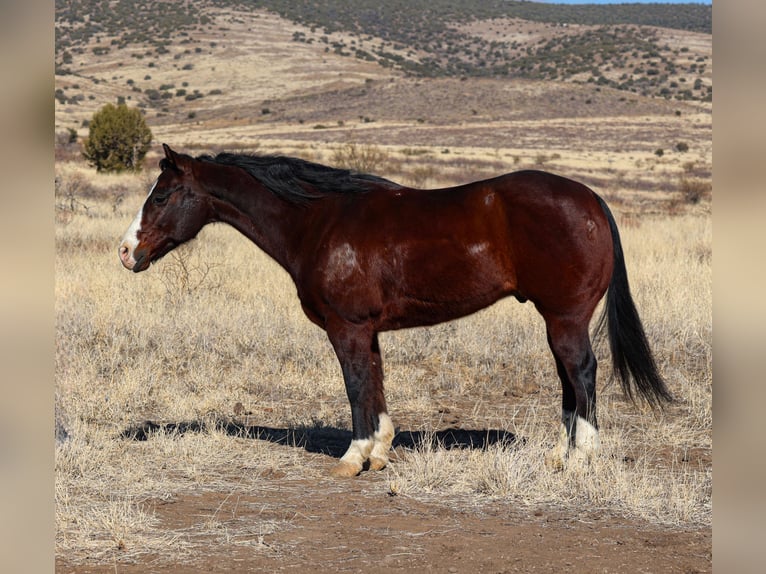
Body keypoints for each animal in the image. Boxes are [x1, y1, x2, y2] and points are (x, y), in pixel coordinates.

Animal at [120, 146, 672, 480]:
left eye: (163, 195)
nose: (126, 252)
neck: (319, 221)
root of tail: (590, 199)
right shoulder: (368, 330)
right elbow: (376, 382)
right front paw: (381, 452)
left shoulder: (346, 328)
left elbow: (356, 386)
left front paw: (353, 458)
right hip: (556, 320)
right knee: (568, 381)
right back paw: (559, 454)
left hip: (564, 319)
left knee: (582, 373)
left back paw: (581, 458)